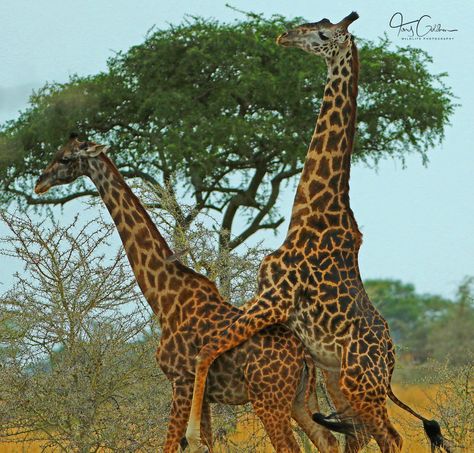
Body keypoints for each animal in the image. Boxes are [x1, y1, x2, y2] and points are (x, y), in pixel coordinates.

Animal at [35, 136, 342, 452]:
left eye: (66, 159)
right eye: (56, 152)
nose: (39, 183)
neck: (164, 300)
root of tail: (304, 355)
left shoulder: (180, 381)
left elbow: (170, 445)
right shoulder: (203, 395)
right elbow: (206, 443)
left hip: (269, 399)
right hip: (299, 399)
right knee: (329, 441)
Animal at [185, 11, 452, 452]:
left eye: (324, 34)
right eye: (312, 22)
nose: (285, 35)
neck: (309, 214)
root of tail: (389, 364)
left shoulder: (273, 299)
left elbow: (206, 347)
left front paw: (192, 432)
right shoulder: (268, 302)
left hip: (359, 382)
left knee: (391, 437)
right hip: (337, 377)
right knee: (361, 436)